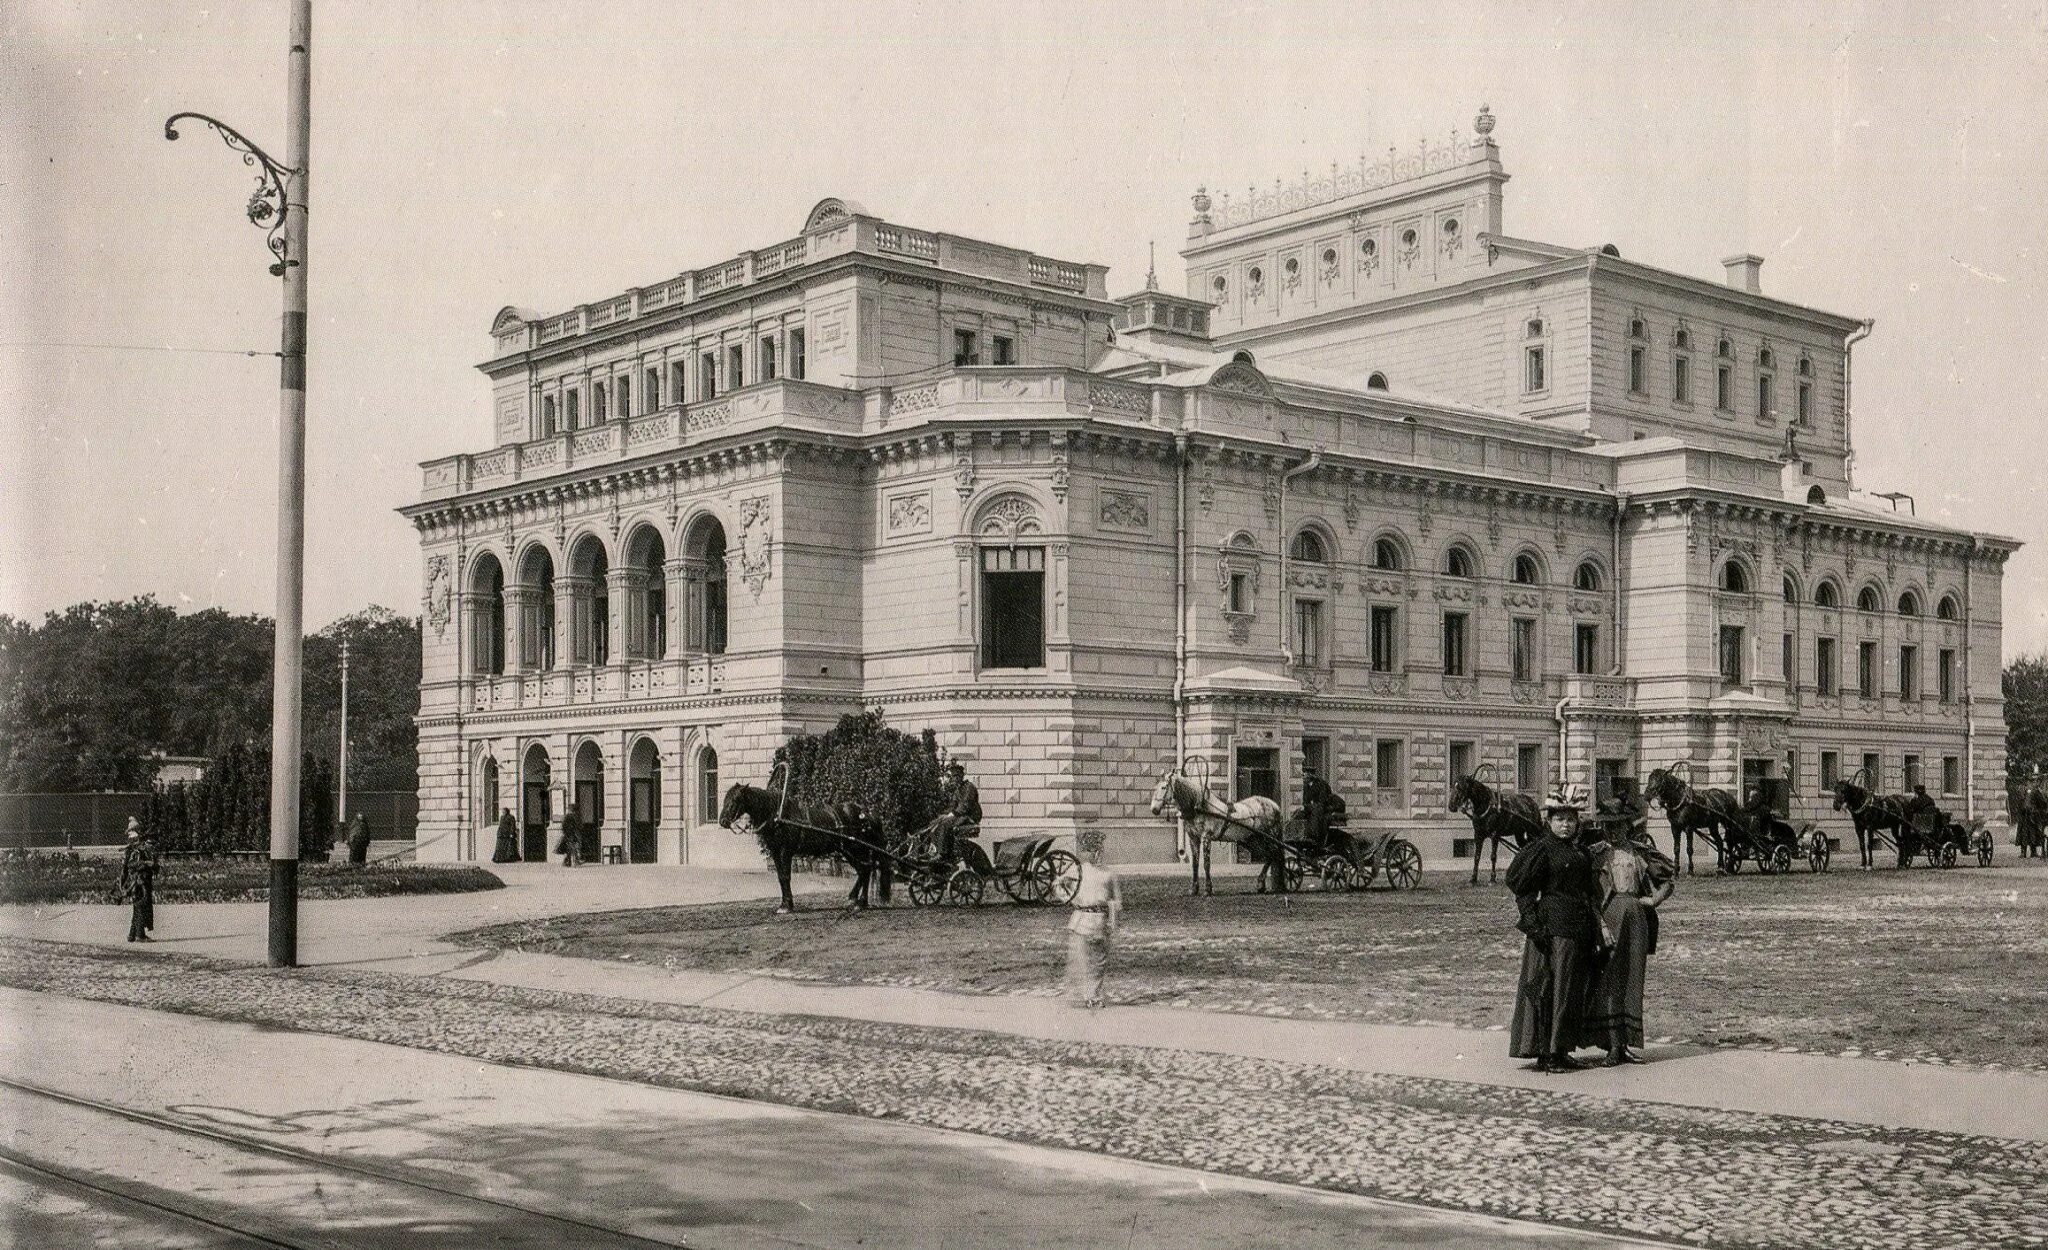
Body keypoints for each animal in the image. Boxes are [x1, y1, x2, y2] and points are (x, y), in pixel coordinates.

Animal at [724, 782, 892, 909]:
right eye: (725, 799)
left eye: (735, 799)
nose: (722, 821)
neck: (778, 816)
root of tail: (866, 813)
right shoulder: (775, 851)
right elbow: (780, 876)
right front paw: (784, 903)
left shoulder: (786, 851)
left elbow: (786, 876)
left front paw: (787, 905)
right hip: (848, 851)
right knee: (863, 871)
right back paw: (855, 899)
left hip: (857, 849)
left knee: (866, 870)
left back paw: (861, 902)